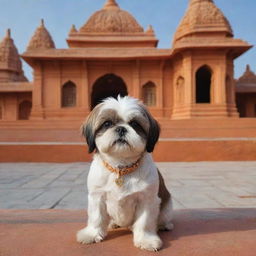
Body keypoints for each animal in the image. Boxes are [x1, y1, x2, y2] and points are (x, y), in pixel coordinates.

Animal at [77, 96, 173, 252]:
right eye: (107, 123)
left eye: (135, 124)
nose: (121, 128)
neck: (121, 168)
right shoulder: (97, 196)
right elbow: (96, 217)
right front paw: (92, 234)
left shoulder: (146, 199)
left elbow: (144, 222)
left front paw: (146, 240)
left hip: (167, 207)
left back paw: (164, 225)